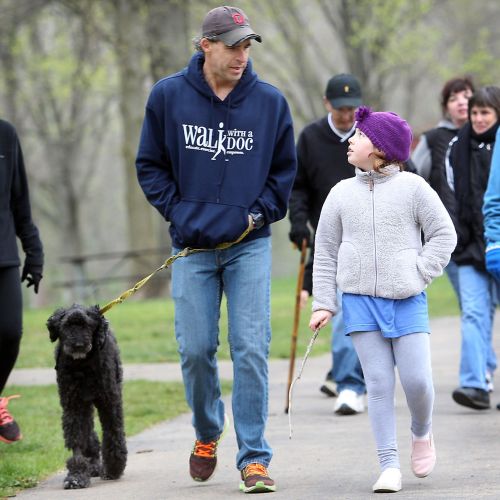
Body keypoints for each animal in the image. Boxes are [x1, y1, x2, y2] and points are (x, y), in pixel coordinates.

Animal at [46, 304, 127, 488]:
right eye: (66, 326)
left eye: (87, 325)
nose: (78, 345)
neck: (82, 365)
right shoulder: (73, 405)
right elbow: (76, 439)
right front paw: (76, 475)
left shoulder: (109, 401)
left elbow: (113, 432)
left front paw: (113, 467)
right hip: (85, 404)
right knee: (89, 434)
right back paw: (93, 465)